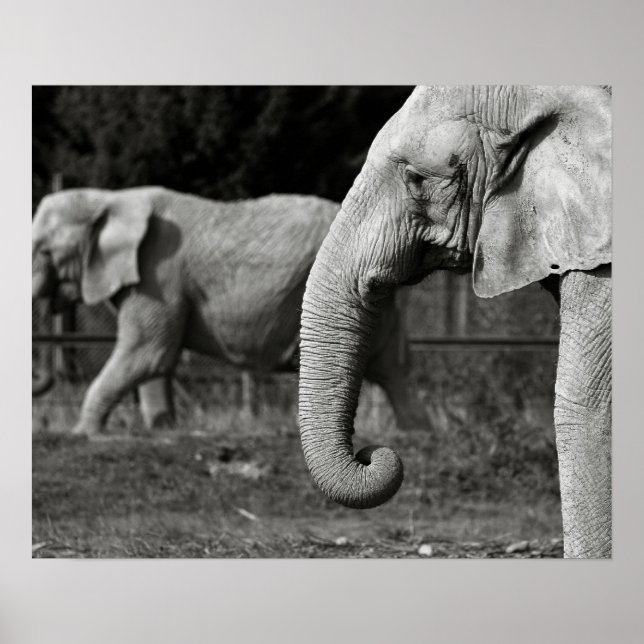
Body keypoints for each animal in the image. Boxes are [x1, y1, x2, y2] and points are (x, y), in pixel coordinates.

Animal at [32, 187, 424, 435]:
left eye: (45, 252)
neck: (112, 198)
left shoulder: (159, 273)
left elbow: (148, 352)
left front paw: (81, 433)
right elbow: (157, 361)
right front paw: (163, 429)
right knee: (391, 366)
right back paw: (418, 432)